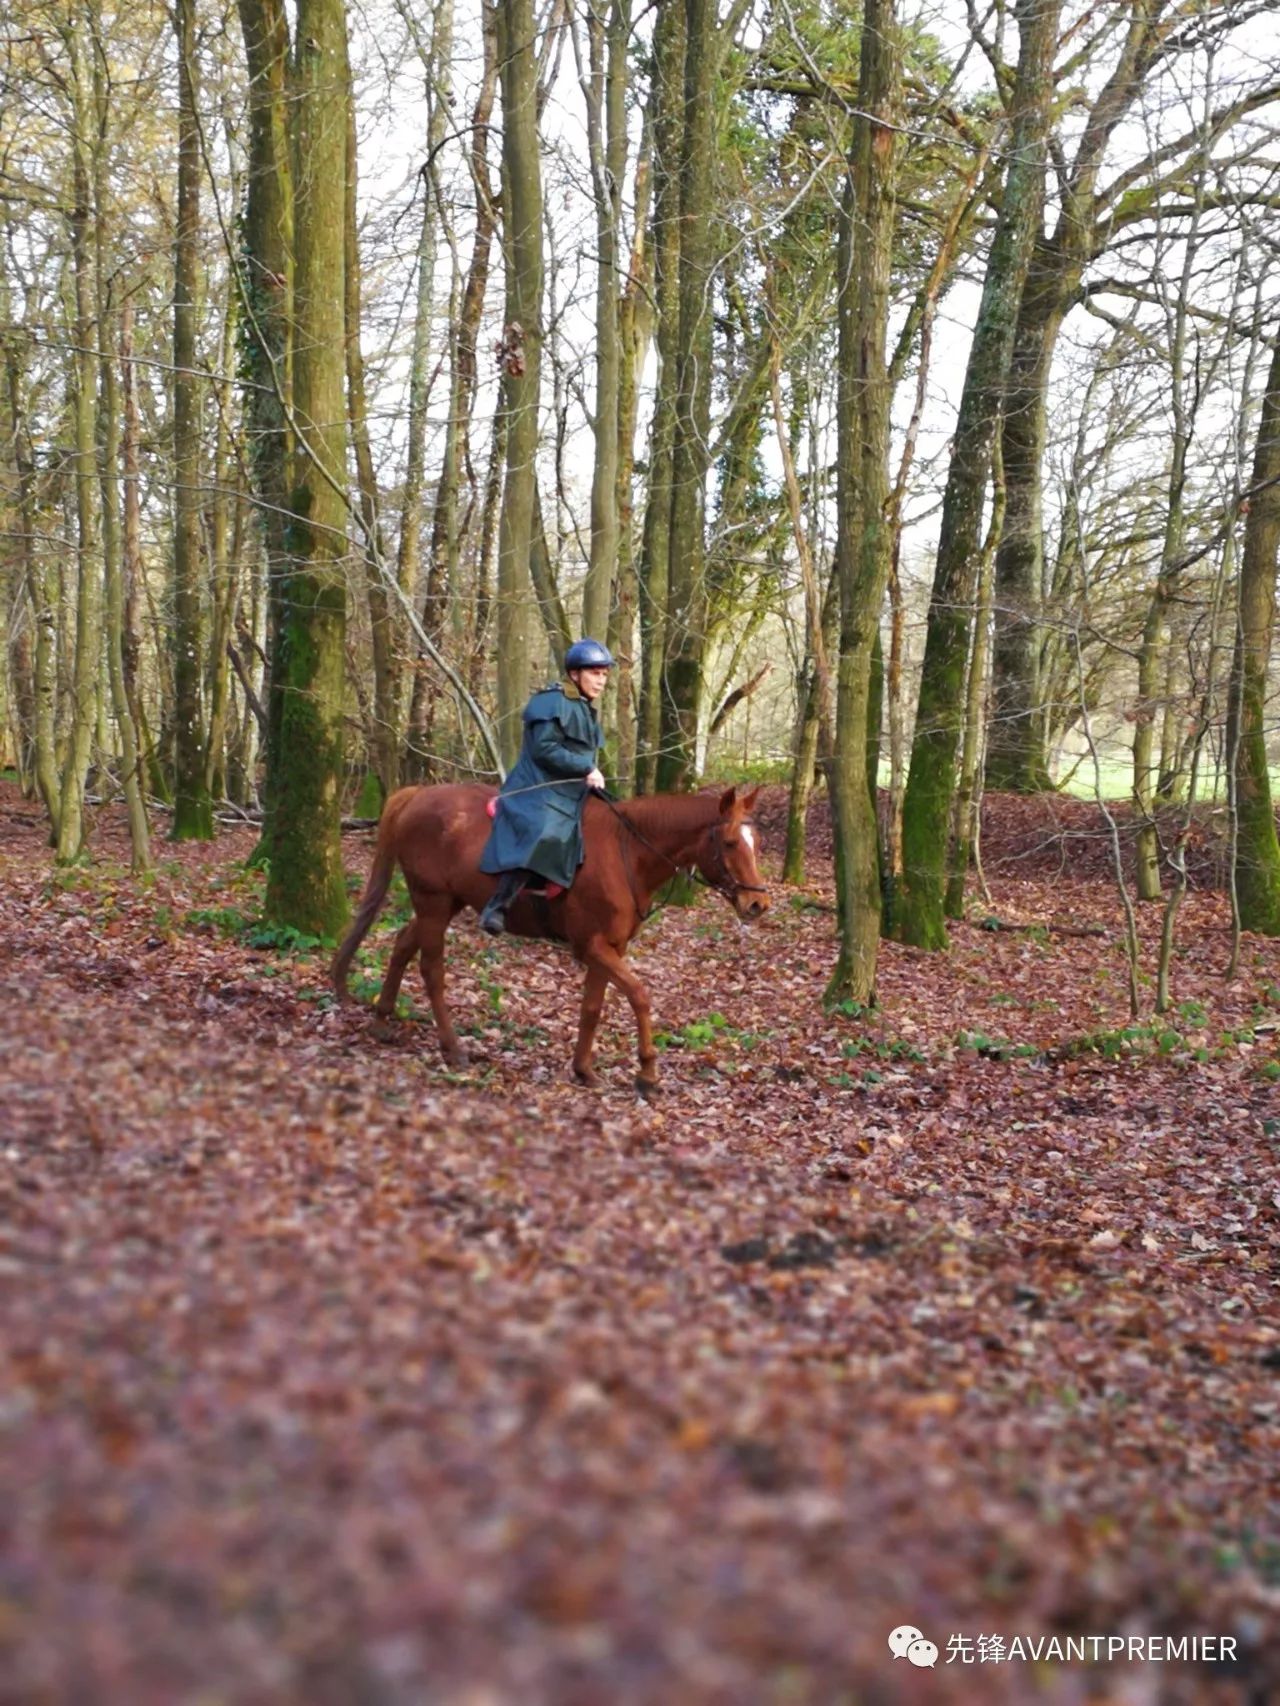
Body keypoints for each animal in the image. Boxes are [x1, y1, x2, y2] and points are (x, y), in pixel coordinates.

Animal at [332, 784, 771, 1091]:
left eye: (758, 845)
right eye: (730, 843)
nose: (757, 904)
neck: (627, 853)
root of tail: (418, 794)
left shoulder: (609, 947)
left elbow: (593, 1007)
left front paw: (584, 1070)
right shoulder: (592, 946)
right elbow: (639, 996)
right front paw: (647, 1073)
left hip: (442, 904)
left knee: (404, 944)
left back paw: (382, 1021)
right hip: (434, 903)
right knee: (431, 969)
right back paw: (453, 1047)